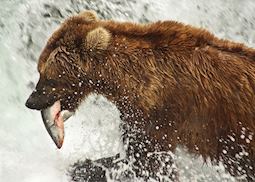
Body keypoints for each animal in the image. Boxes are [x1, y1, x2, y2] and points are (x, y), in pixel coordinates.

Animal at [25, 10, 255, 181]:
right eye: (39, 70)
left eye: (48, 77)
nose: (30, 101)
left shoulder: (160, 110)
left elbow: (146, 160)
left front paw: (85, 167)